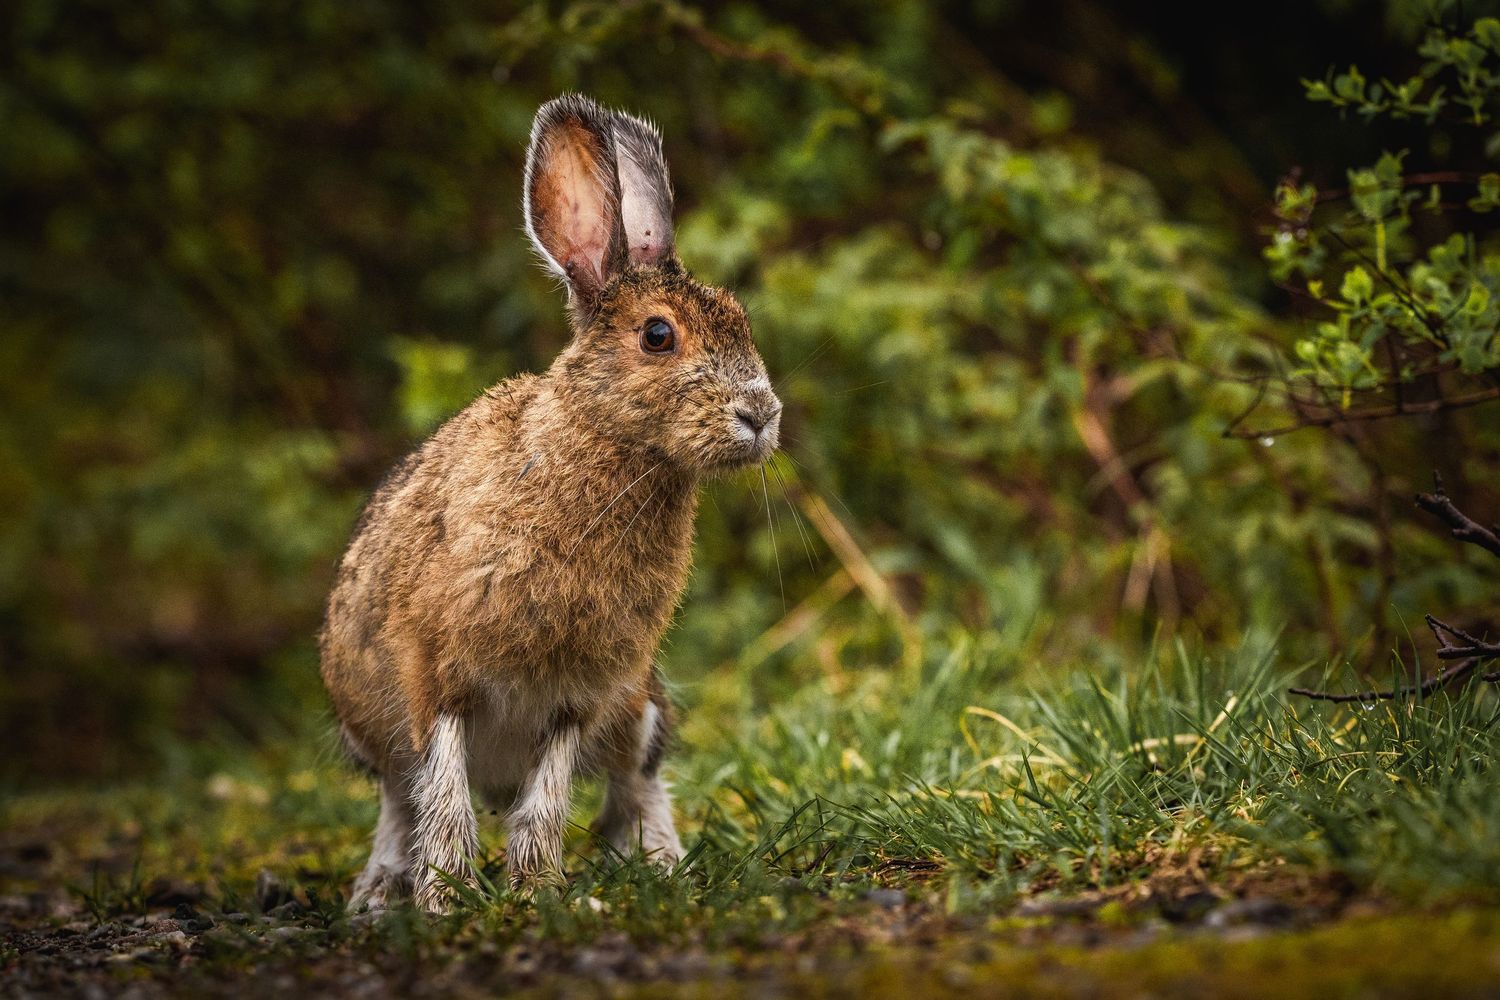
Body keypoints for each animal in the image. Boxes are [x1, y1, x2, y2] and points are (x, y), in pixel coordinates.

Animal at [319, 94, 782, 912]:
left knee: (636, 781)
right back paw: (377, 896)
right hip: (371, 728)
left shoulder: (577, 694)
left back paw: (659, 866)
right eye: (657, 335)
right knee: (399, 804)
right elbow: (444, 800)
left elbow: (545, 803)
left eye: (740, 319)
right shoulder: (435, 677)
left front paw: (536, 895)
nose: (761, 415)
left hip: (639, 705)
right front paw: (445, 902)